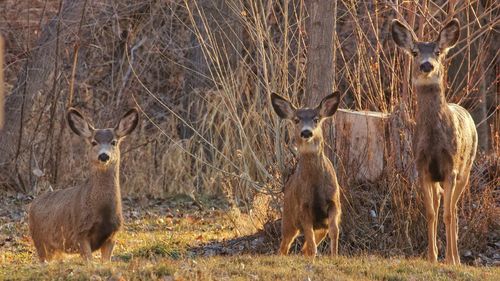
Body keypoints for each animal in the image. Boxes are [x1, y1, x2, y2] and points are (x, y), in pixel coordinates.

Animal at [28, 106, 140, 260]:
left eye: (114, 142)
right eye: (93, 142)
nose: (104, 156)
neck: (103, 213)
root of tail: (33, 203)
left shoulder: (113, 234)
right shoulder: (80, 232)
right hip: (39, 241)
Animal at [270, 91, 344, 256]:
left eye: (316, 119)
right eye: (296, 120)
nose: (306, 132)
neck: (316, 187)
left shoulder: (334, 202)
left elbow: (334, 232)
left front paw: (335, 256)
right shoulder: (303, 207)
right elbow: (311, 244)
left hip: (318, 227)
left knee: (303, 248)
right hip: (288, 219)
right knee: (284, 246)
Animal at [392, 18, 478, 264]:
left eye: (438, 52)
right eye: (414, 52)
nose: (427, 65)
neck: (433, 141)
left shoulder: (451, 167)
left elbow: (448, 214)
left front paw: (451, 260)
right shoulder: (422, 167)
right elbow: (431, 213)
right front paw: (431, 257)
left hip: (466, 170)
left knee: (454, 209)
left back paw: (455, 257)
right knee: (441, 203)